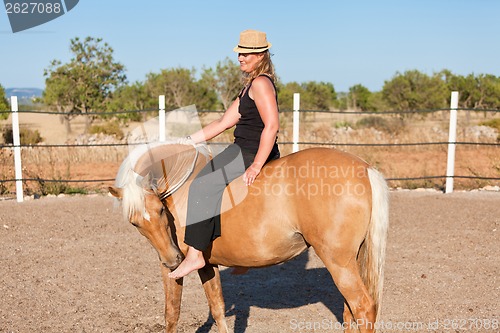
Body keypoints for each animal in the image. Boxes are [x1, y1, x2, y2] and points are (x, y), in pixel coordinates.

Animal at [109, 141, 390, 330]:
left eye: (160, 210)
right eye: (135, 222)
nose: (173, 260)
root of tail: (364, 168)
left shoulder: (173, 269)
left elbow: (171, 314)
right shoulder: (206, 264)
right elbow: (218, 309)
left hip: (338, 262)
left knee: (362, 307)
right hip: (353, 260)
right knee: (350, 311)